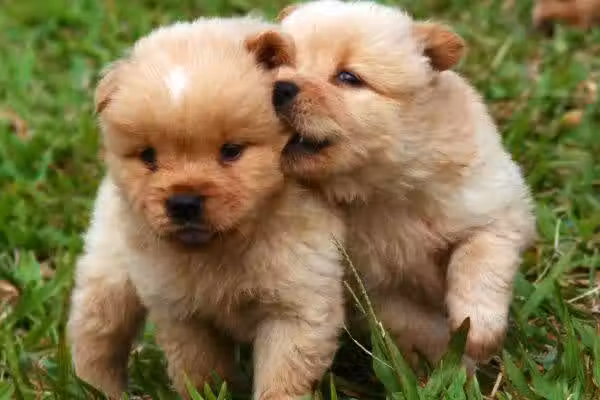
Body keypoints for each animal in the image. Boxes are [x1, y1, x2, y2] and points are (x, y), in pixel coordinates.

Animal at [67, 17, 346, 399]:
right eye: (148, 157)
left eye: (231, 151)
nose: (183, 202)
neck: (223, 249)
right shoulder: (182, 313)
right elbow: (202, 372)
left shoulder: (297, 307)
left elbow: (281, 379)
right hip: (111, 272)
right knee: (96, 334)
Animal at [273, 0, 536, 366]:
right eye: (277, 63)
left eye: (348, 77)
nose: (279, 87)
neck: (383, 192)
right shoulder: (374, 287)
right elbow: (418, 326)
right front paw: (450, 363)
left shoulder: (497, 209)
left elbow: (478, 261)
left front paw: (478, 334)